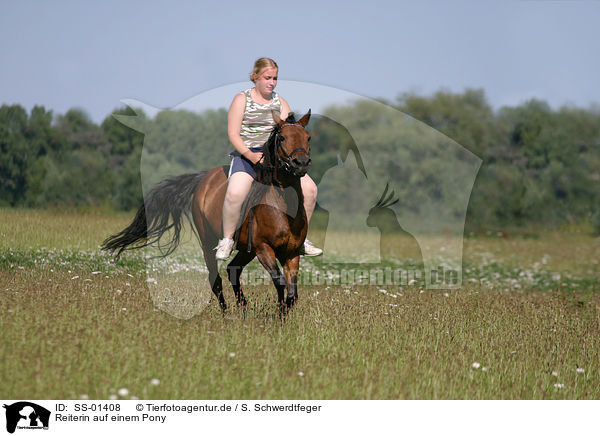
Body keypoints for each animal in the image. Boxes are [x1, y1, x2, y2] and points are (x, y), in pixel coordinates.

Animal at [101, 110, 312, 312]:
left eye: (308, 137)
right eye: (282, 137)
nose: (301, 163)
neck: (283, 206)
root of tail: (204, 178)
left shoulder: (291, 253)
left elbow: (292, 294)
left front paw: (281, 315)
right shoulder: (263, 248)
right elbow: (280, 282)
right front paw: (276, 317)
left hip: (246, 249)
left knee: (232, 270)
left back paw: (243, 308)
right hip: (208, 240)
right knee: (215, 279)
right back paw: (227, 314)